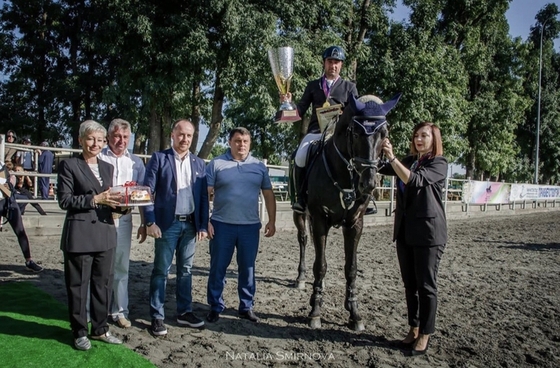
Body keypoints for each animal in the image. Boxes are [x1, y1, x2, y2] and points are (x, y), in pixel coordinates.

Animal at [290, 92, 400, 330]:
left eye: (384, 134)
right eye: (356, 132)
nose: (368, 184)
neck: (343, 172)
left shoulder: (354, 223)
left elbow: (351, 267)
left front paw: (354, 313)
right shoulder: (319, 218)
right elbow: (320, 265)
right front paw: (315, 310)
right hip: (300, 214)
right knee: (303, 240)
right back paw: (301, 278)